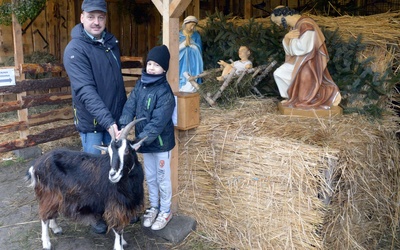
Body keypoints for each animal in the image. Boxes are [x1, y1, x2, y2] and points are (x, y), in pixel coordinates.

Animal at [26, 118, 145, 250]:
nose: (112, 175)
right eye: (109, 153)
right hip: (49, 192)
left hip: (57, 194)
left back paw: (55, 228)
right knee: (44, 216)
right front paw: (119, 246)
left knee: (51, 211)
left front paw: (122, 241)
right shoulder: (115, 205)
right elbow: (118, 228)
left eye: (127, 150)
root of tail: (36, 165)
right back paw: (46, 243)